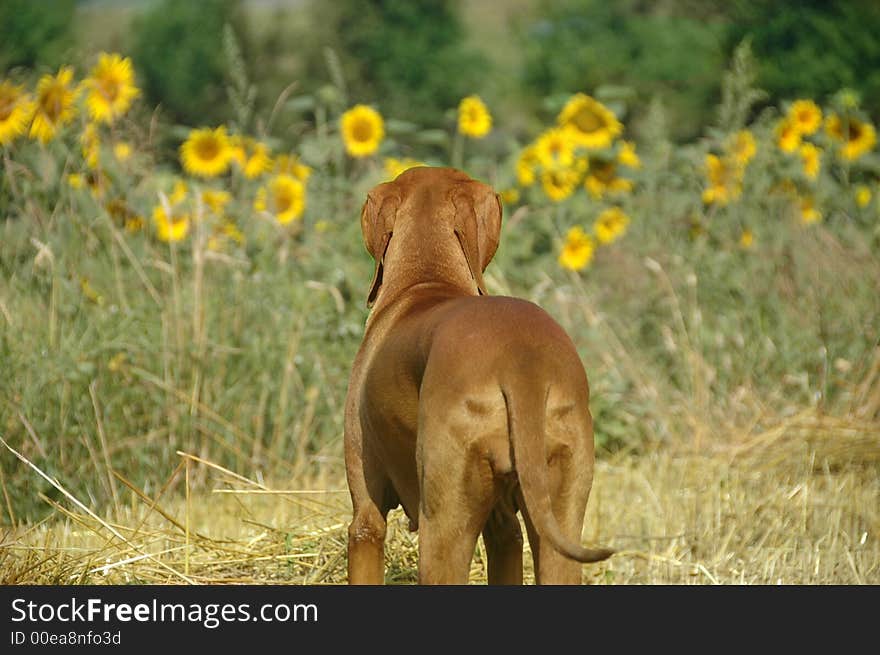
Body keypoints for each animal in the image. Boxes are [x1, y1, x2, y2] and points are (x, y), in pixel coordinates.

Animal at [344, 165, 612, 584]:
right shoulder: (504, 530)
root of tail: (521, 361)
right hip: (560, 517)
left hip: (443, 524)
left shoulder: (366, 519)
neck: (426, 281)